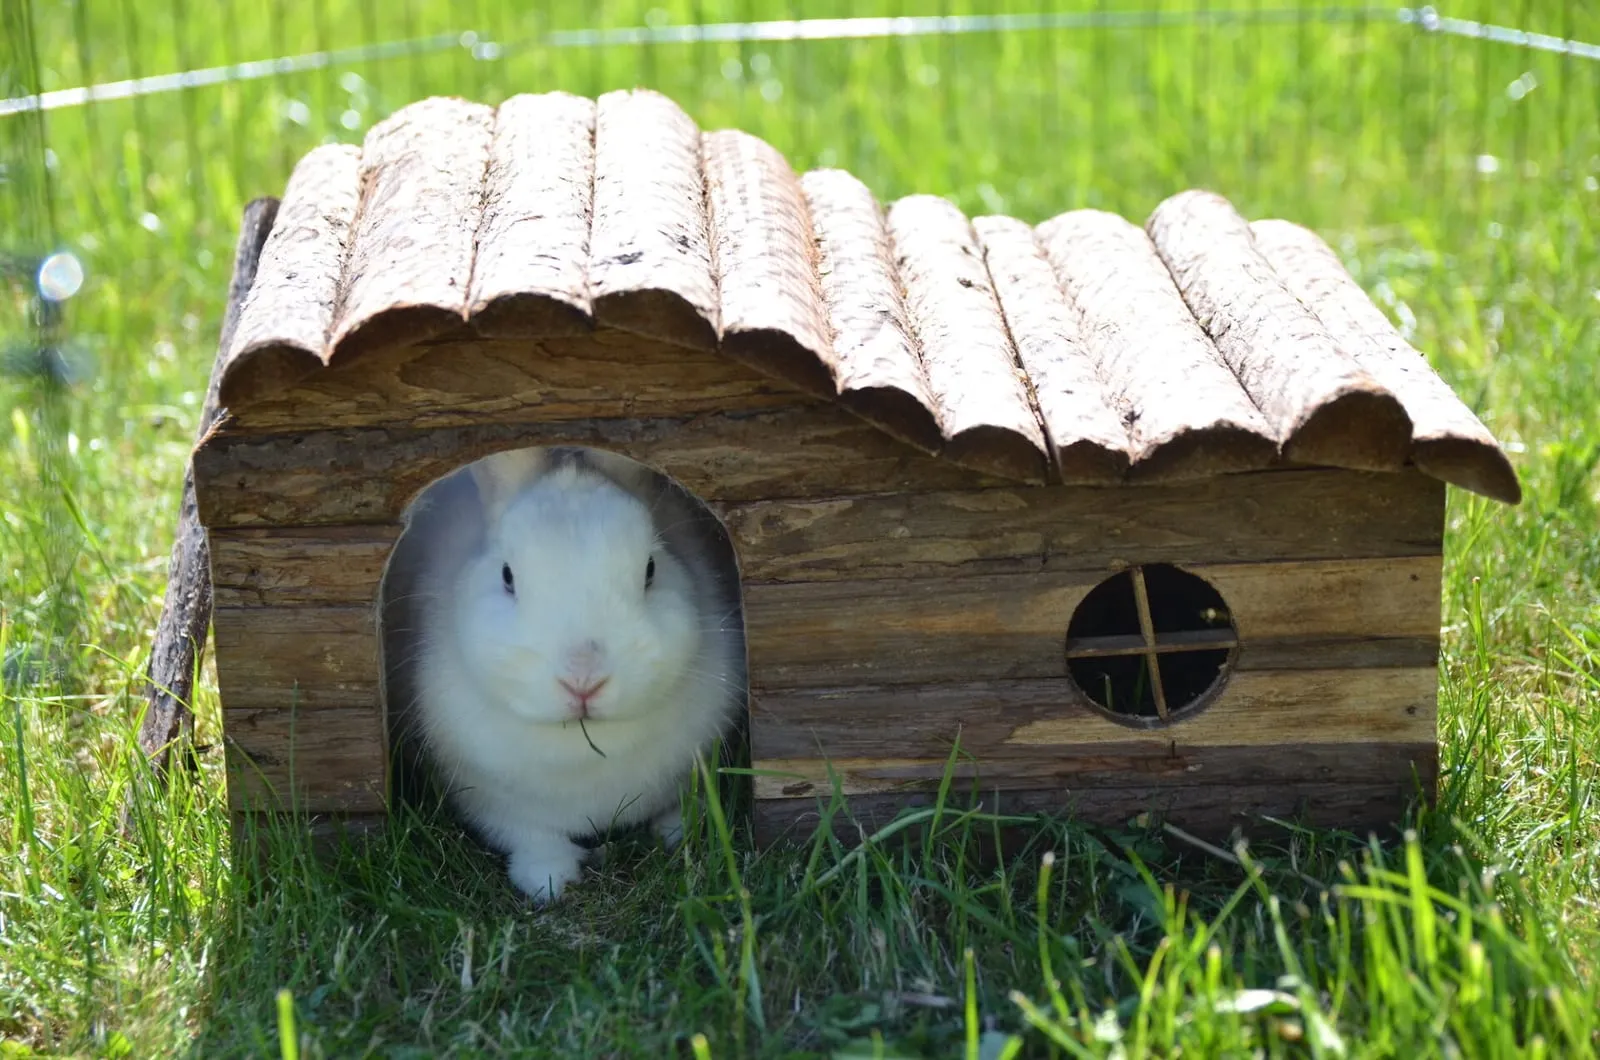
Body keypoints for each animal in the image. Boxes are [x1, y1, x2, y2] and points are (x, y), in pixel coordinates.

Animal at [398, 446, 747, 904]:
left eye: (651, 570)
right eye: (507, 576)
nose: (584, 680)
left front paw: (680, 833)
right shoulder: (490, 797)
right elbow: (529, 834)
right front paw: (549, 880)